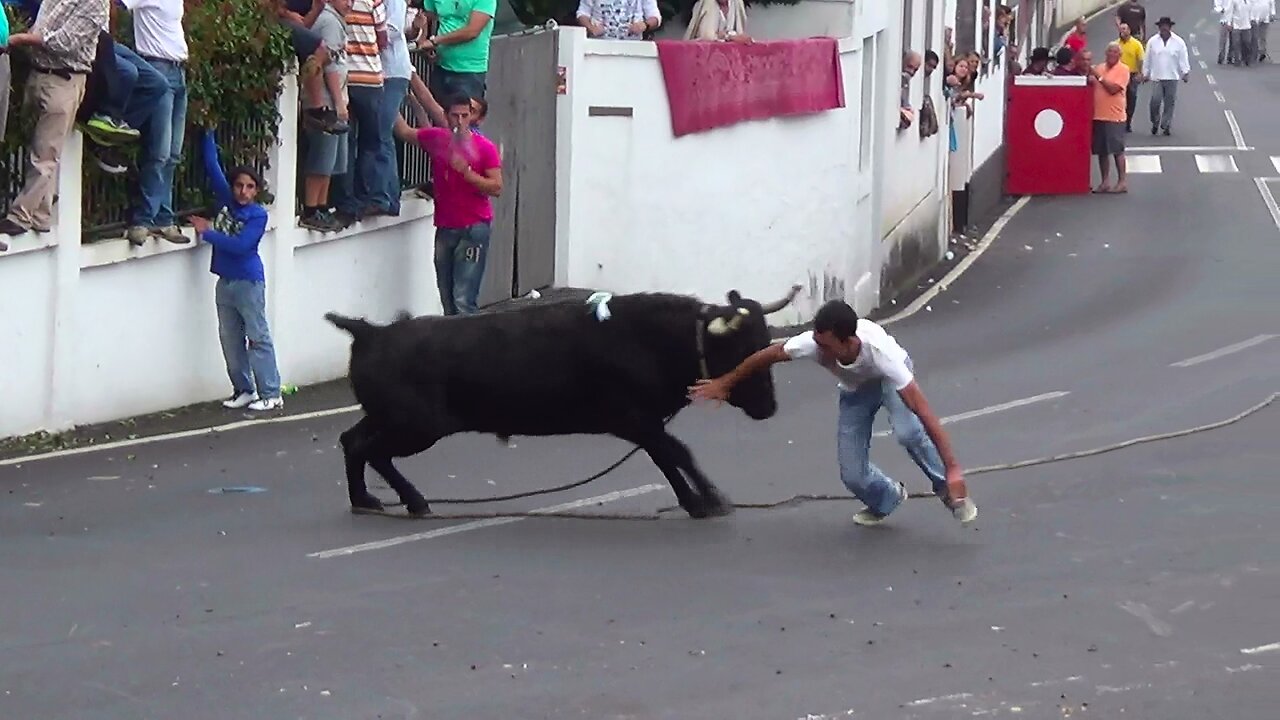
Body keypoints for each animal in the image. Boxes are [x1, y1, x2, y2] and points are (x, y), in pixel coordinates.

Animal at [322, 284, 798, 515]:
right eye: (744, 349)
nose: (768, 407)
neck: (652, 338)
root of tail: (371, 332)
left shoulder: (643, 423)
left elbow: (667, 456)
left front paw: (695, 501)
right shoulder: (635, 418)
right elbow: (676, 452)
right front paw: (711, 499)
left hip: (389, 418)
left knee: (352, 442)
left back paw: (365, 499)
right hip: (417, 426)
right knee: (372, 450)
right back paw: (413, 501)